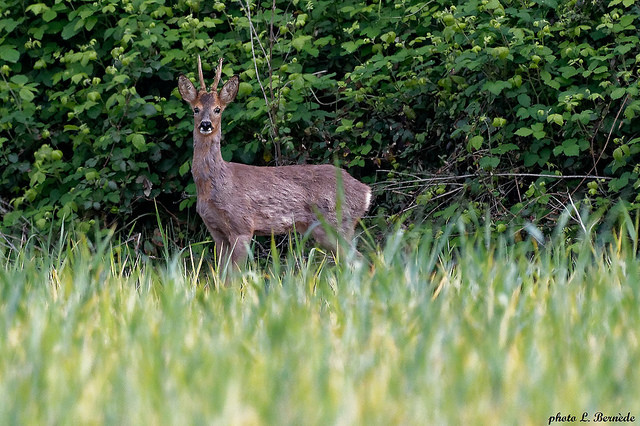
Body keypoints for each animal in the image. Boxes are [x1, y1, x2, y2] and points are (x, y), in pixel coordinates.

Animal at [178, 56, 372, 272]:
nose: (205, 124)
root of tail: (366, 192)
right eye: (196, 109)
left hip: (337, 222)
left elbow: (236, 276)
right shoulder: (216, 232)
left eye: (217, 109)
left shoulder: (242, 225)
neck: (215, 184)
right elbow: (221, 276)